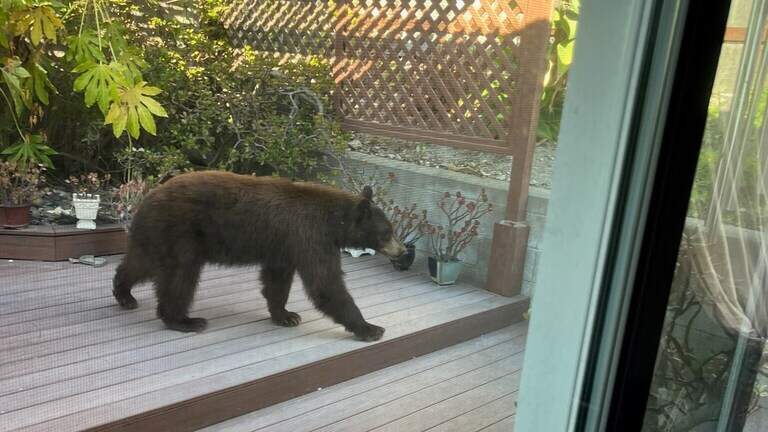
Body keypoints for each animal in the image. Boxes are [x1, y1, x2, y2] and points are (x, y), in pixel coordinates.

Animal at [112, 171, 406, 341]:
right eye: (387, 232)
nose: (403, 251)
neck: (334, 222)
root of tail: (147, 198)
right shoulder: (310, 237)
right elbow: (325, 284)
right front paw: (370, 328)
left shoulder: (284, 246)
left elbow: (277, 280)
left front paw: (286, 315)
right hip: (180, 232)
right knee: (180, 275)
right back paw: (185, 320)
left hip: (157, 235)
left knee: (140, 262)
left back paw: (124, 294)